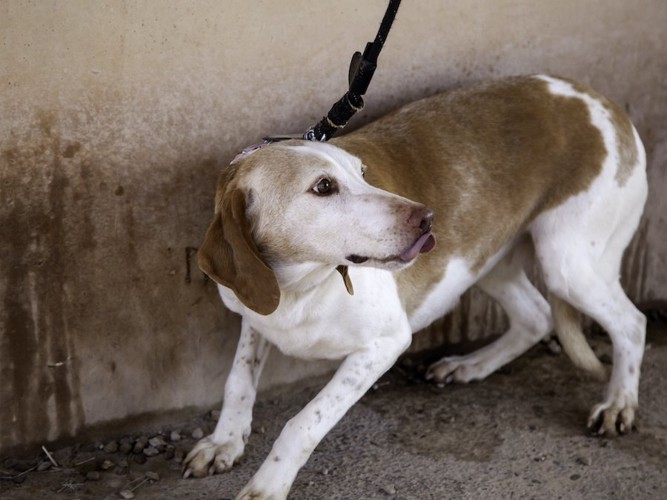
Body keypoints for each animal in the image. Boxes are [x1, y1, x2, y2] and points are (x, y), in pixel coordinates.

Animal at [181, 75, 648, 500]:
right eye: (323, 187)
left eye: (363, 173)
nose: (427, 218)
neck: (301, 287)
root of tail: (597, 99)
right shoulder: (255, 317)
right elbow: (238, 381)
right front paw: (225, 441)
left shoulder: (384, 345)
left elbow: (303, 422)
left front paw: (267, 485)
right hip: (486, 258)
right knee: (536, 316)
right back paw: (470, 365)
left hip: (565, 263)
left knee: (632, 323)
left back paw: (619, 403)